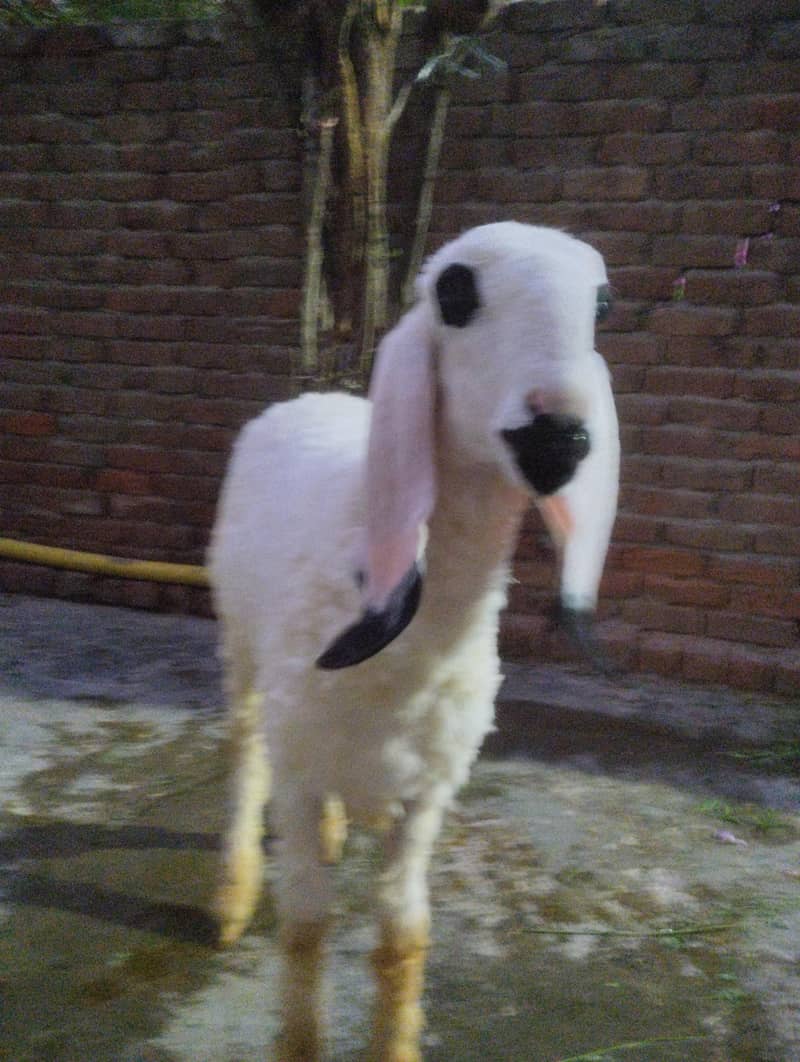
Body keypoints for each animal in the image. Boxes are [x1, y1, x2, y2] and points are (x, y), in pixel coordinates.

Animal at [208, 221, 620, 1061]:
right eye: (456, 294)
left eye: (602, 305)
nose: (558, 436)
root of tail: (315, 391)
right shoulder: (299, 772)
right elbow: (306, 927)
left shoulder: (429, 792)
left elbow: (404, 935)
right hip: (241, 643)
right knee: (244, 750)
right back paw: (231, 896)